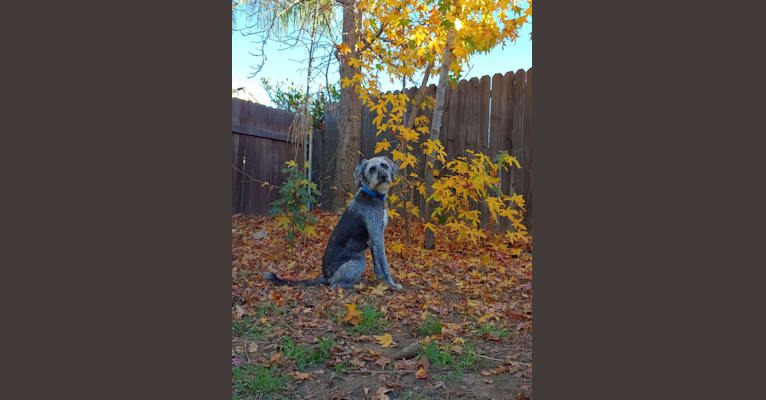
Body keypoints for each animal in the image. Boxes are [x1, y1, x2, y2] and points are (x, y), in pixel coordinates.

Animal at [264, 156, 404, 290]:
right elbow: (385, 264)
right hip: (358, 258)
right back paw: (357, 285)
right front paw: (392, 284)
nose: (383, 176)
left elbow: (377, 263)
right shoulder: (377, 235)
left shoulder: (375, 238)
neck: (373, 194)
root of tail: (326, 276)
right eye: (372, 169)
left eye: (384, 165)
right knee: (334, 285)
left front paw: (380, 279)